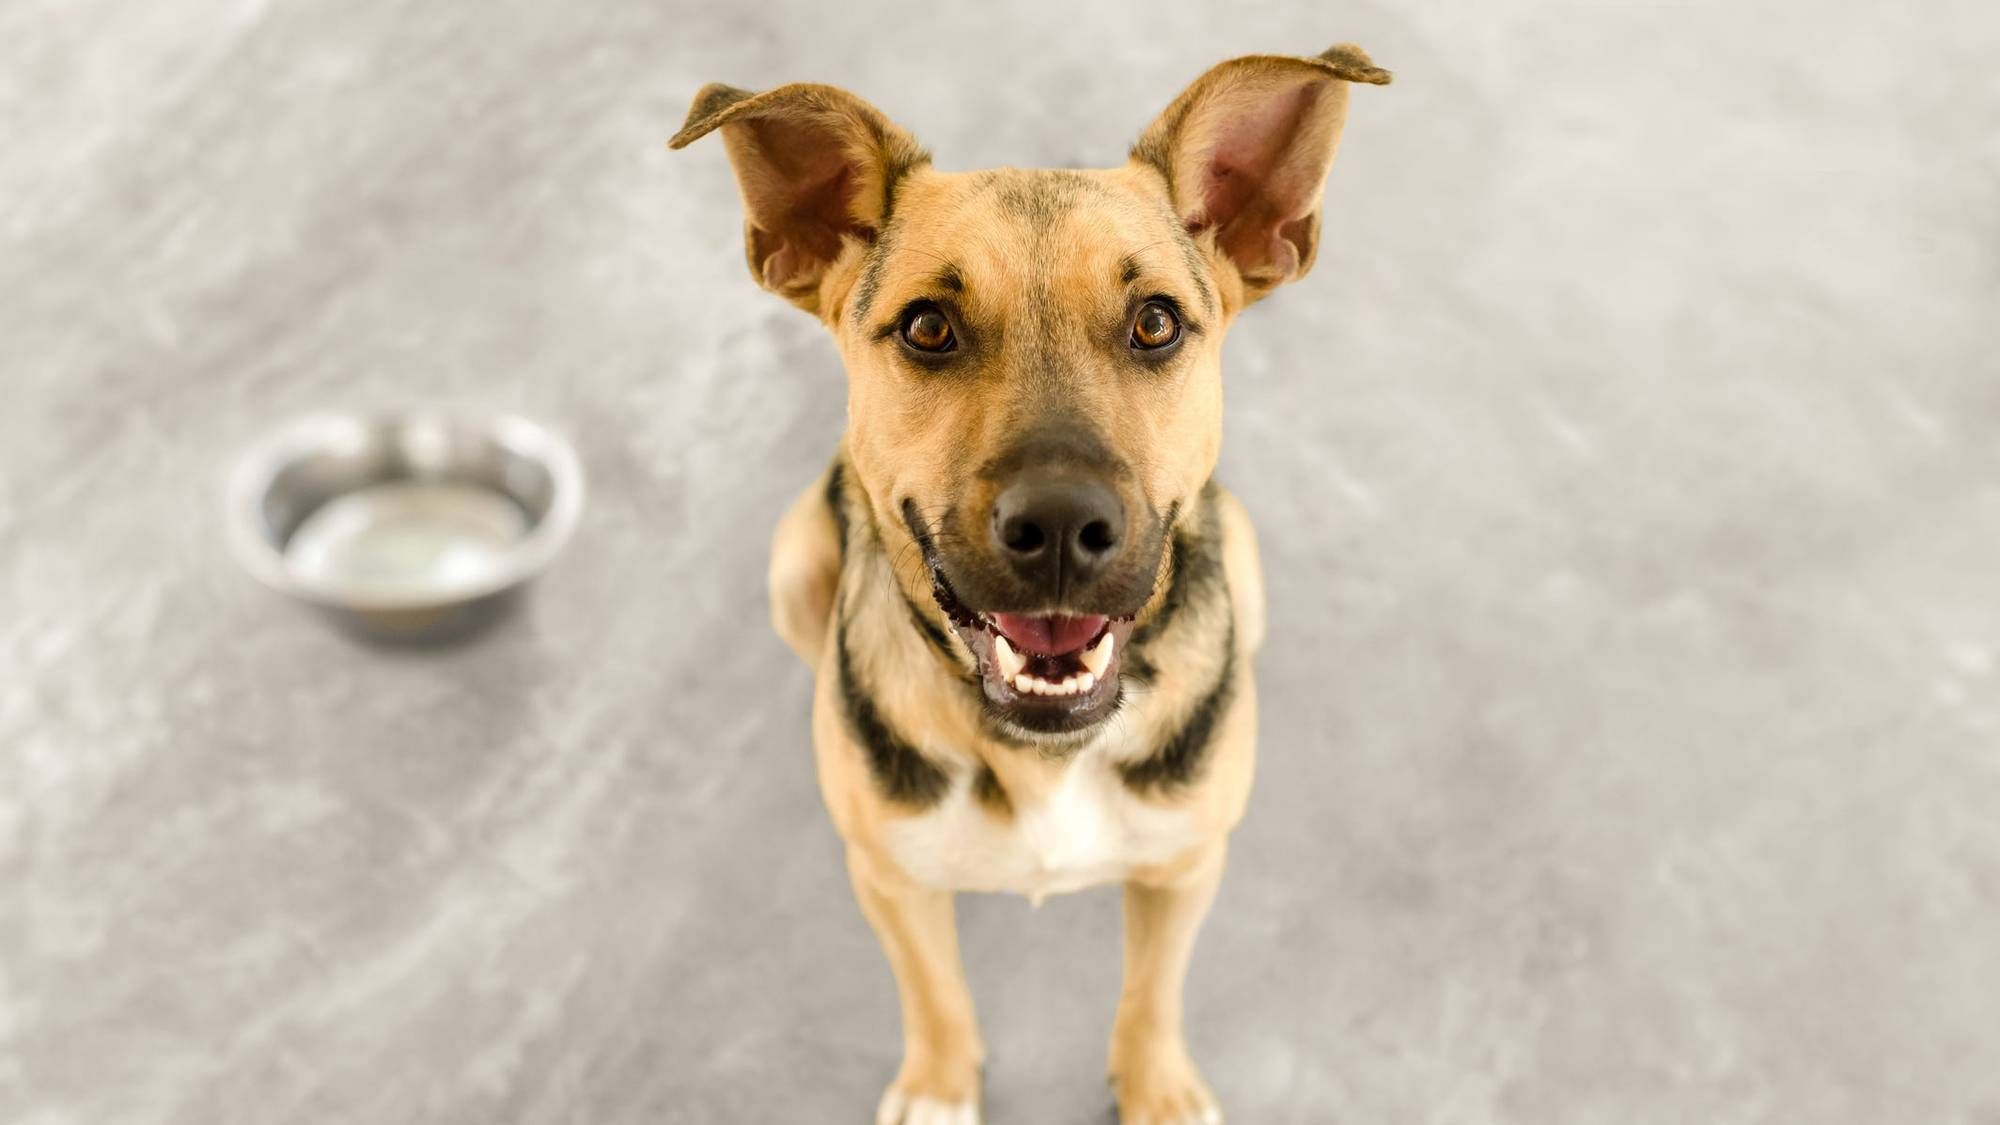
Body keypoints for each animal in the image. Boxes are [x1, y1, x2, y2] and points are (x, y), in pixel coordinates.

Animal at [672, 42, 1389, 1125]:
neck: (1044, 749)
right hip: (792, 564)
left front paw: (1156, 1087)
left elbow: (1152, 989)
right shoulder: (891, 883)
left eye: (1155, 322)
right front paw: (938, 1086)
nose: (1059, 530)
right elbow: (933, 990)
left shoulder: (1186, 864)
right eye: (926, 327)